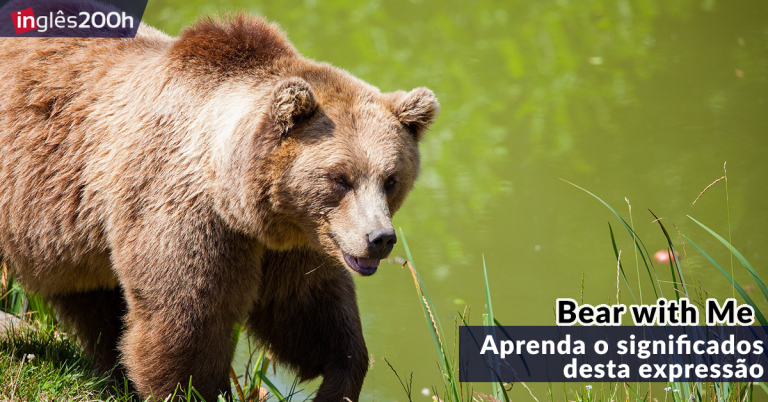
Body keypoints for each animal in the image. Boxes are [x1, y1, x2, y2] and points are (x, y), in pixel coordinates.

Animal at [0, 14, 439, 401]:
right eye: (339, 178)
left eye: (390, 179)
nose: (379, 238)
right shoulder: (184, 213)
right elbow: (187, 323)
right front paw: (193, 388)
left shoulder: (296, 243)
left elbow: (309, 313)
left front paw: (338, 383)